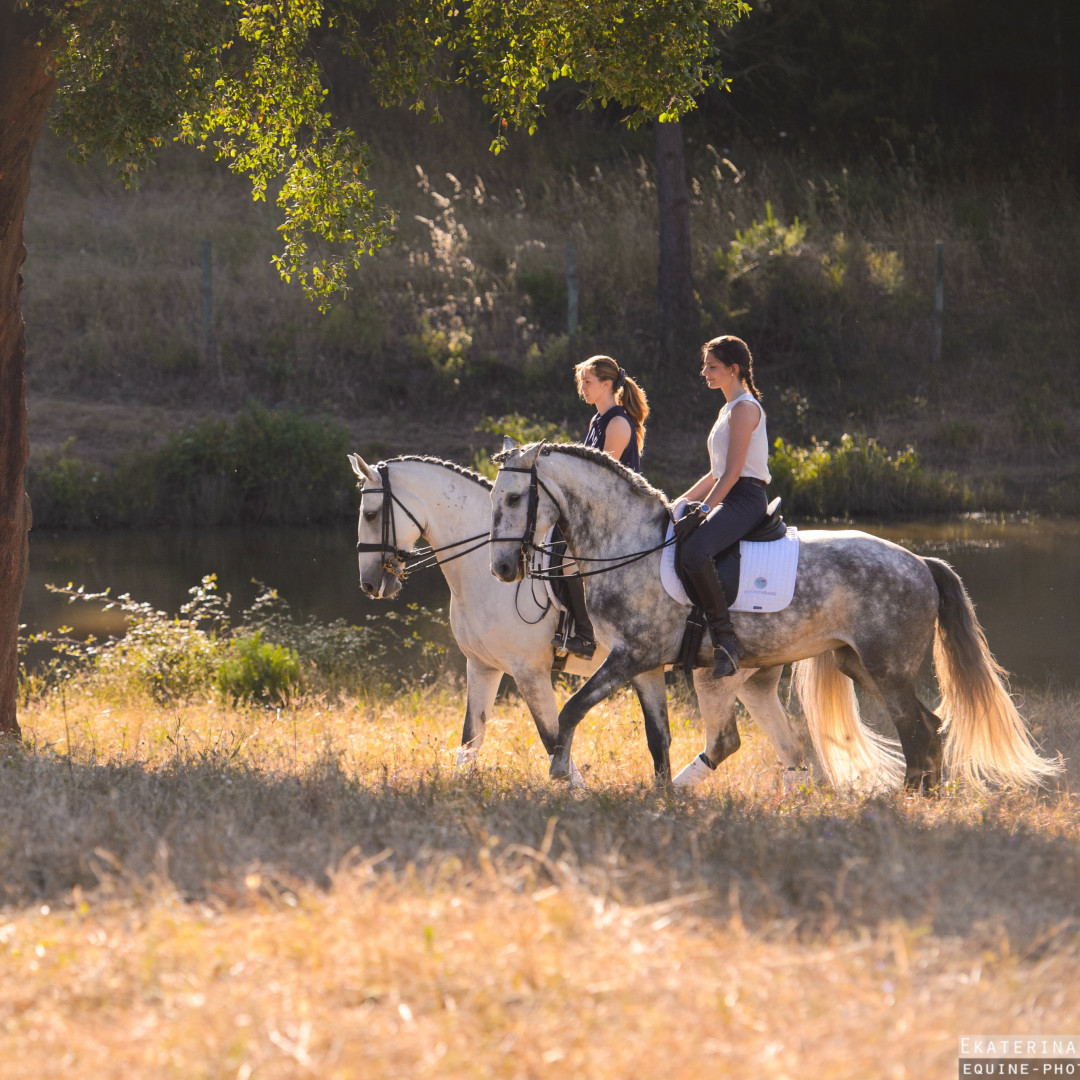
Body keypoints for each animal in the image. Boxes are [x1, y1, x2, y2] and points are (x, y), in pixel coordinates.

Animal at [348, 452, 809, 784]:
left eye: (370, 515)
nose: (369, 584)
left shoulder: (528, 670)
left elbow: (553, 737)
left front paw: (574, 789)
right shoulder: (482, 667)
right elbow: (470, 743)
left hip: (717, 676)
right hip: (752, 679)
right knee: (790, 746)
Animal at [489, 439, 1062, 793]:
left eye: (515, 498)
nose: (501, 568)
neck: (630, 545)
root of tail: (920, 561)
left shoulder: (630, 658)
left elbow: (570, 711)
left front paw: (559, 773)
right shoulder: (643, 666)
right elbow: (658, 738)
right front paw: (660, 796)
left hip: (885, 668)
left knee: (917, 730)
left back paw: (910, 801)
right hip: (855, 664)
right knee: (928, 726)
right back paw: (922, 796)